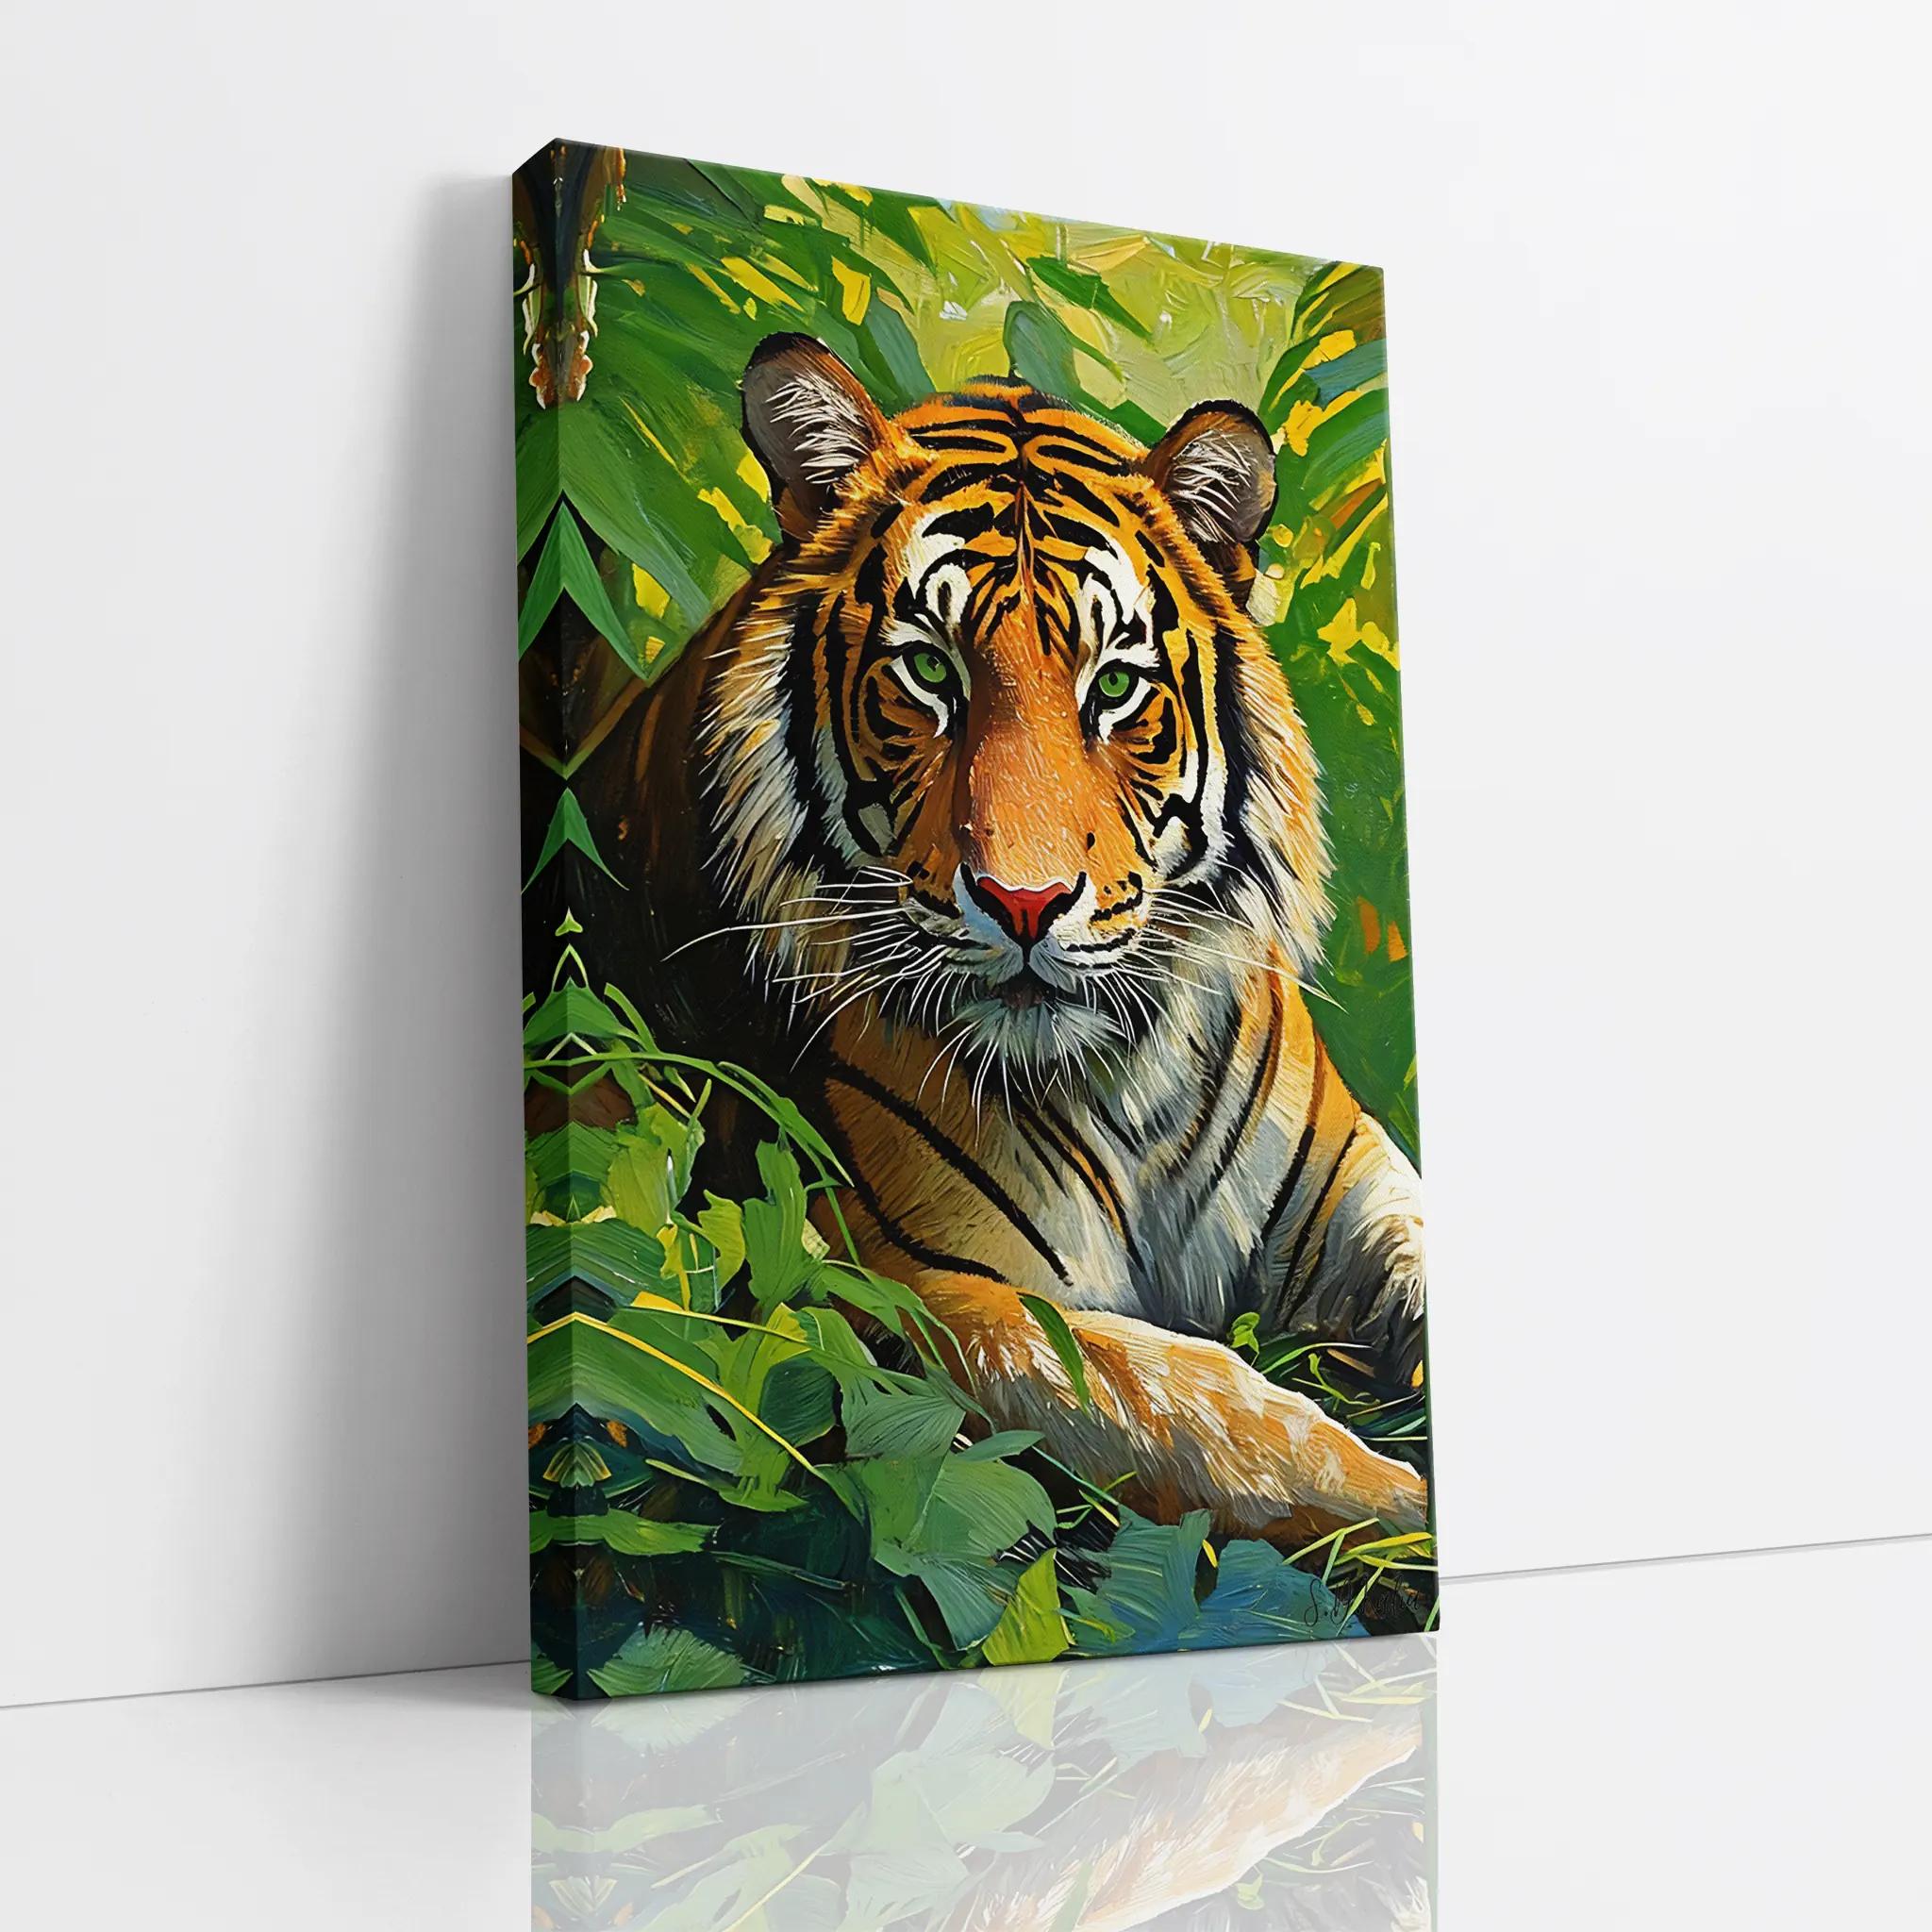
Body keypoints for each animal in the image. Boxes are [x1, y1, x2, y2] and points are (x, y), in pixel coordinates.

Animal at [579, 331, 1430, 1542]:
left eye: (1113, 685)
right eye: (930, 669)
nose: (1023, 904)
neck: (1129, 1081)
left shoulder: (1355, 1183)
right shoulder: (906, 1283)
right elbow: (1177, 1396)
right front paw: (1396, 1500)